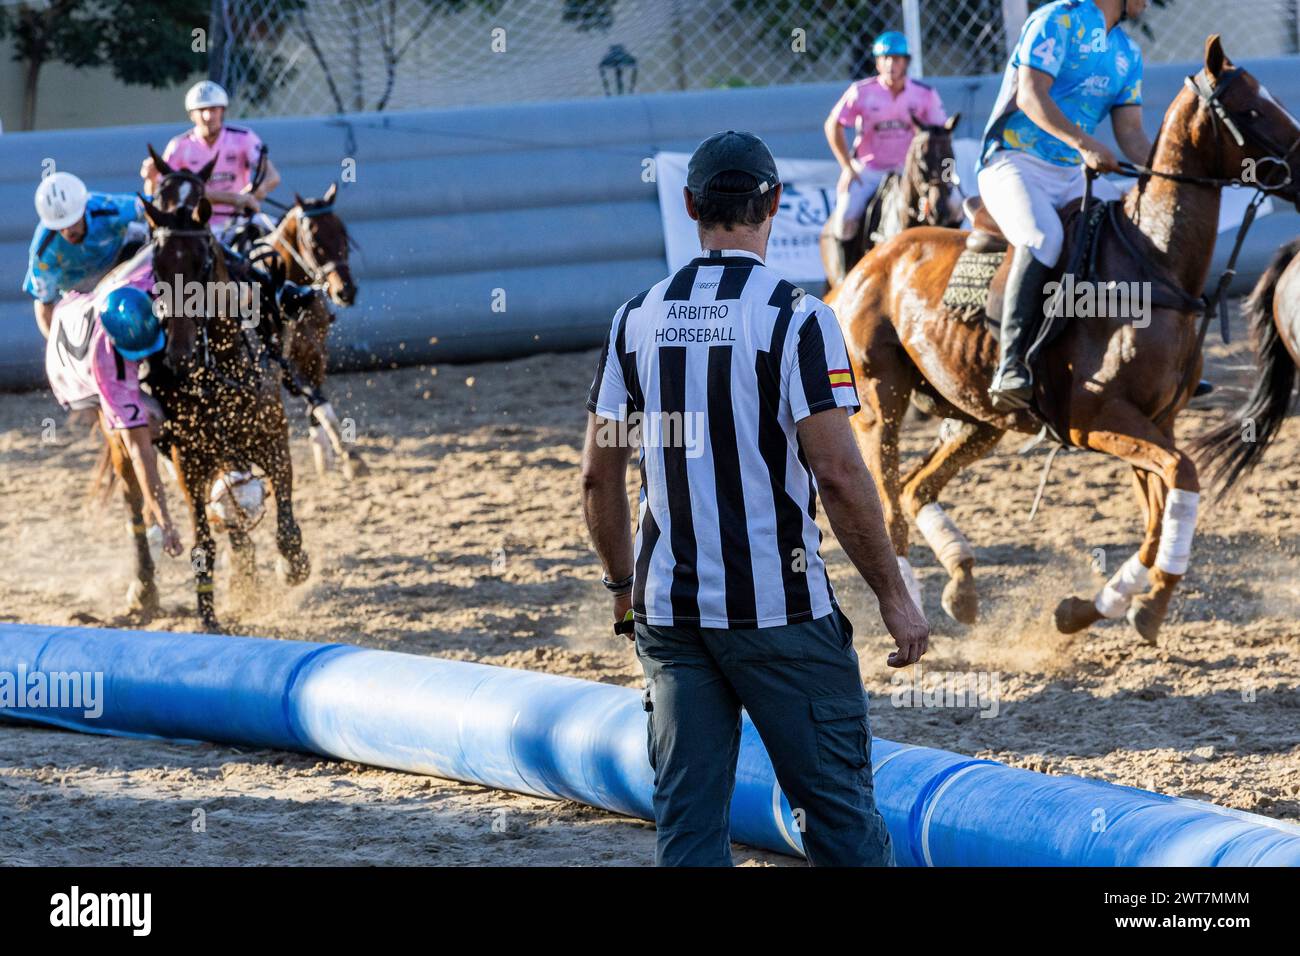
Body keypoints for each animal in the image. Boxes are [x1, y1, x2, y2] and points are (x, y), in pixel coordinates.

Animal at [135, 195, 312, 632]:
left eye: (201, 263)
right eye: (157, 267)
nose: (177, 355)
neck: (221, 372)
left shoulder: (275, 443)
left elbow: (286, 530)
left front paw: (293, 566)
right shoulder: (189, 464)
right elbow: (204, 543)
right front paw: (208, 615)